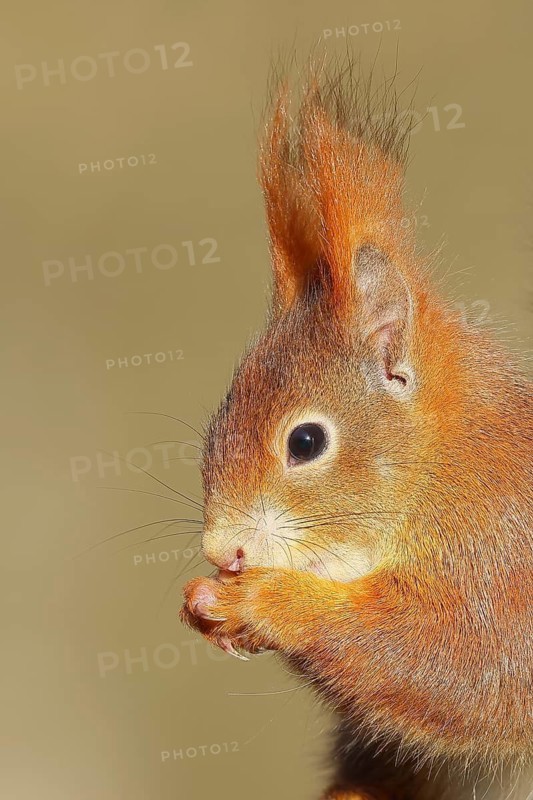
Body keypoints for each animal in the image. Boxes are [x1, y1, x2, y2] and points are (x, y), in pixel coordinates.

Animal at [180, 57, 533, 800]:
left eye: (306, 442)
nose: (223, 552)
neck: (441, 461)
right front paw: (202, 600)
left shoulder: (502, 557)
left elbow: (458, 668)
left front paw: (269, 602)